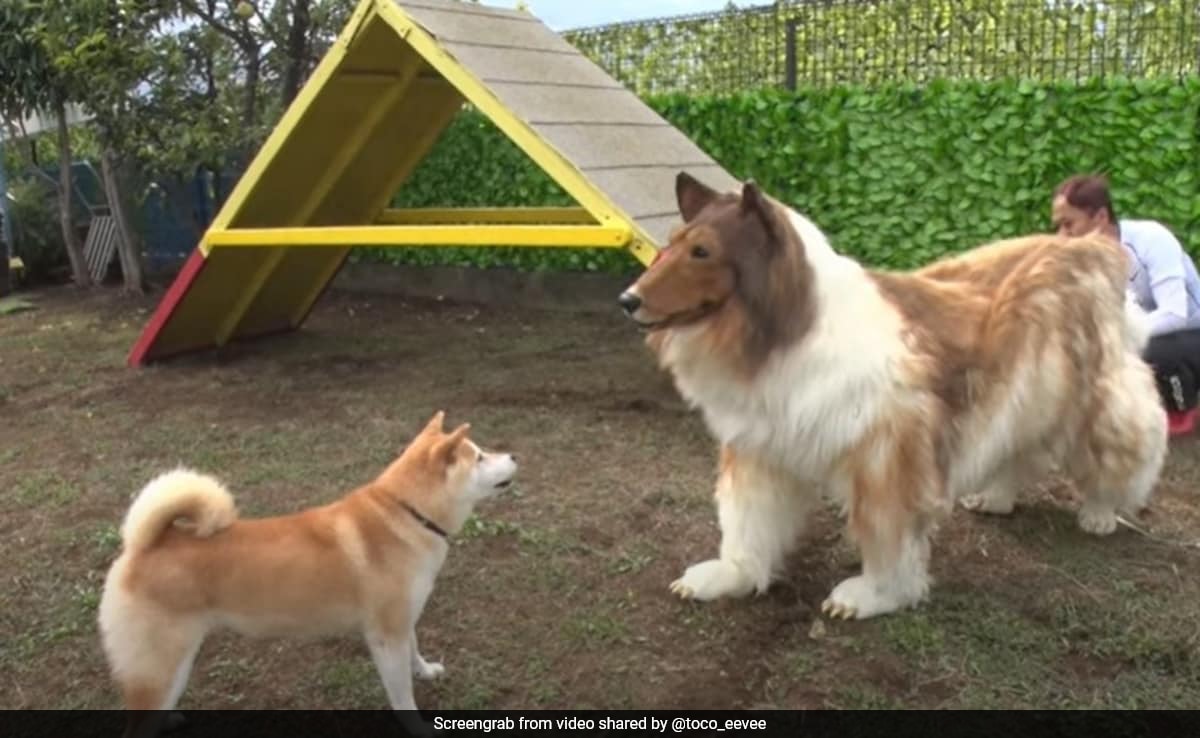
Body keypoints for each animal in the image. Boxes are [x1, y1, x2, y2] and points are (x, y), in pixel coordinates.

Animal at [97, 412, 516, 734]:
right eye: (480, 456)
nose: (513, 454)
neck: (407, 512)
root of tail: (141, 545)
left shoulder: (402, 621)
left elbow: (415, 650)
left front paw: (426, 671)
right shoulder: (385, 636)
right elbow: (402, 698)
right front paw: (419, 727)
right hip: (161, 665)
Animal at [624, 176, 1166, 619]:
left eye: (702, 251)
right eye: (670, 246)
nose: (627, 300)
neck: (792, 329)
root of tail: (1091, 248)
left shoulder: (888, 457)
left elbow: (887, 535)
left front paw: (875, 596)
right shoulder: (761, 449)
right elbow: (746, 523)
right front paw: (726, 577)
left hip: (1089, 401)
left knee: (1125, 446)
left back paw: (1100, 513)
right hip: (1023, 398)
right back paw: (995, 498)